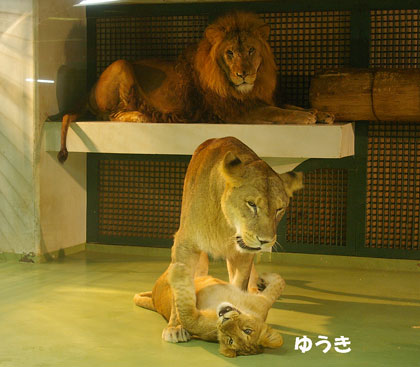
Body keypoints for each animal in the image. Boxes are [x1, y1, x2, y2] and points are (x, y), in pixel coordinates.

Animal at [57, 11, 334, 162]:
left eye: (251, 50)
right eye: (230, 53)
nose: (243, 74)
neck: (247, 90)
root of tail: (88, 90)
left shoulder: (258, 100)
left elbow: (288, 104)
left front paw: (321, 113)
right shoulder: (236, 112)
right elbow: (278, 111)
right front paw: (306, 117)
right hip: (121, 63)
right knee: (109, 115)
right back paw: (140, 115)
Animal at [135, 260, 286, 358]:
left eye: (230, 340)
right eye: (247, 330)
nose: (224, 319)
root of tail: (154, 299)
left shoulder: (197, 322)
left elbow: (186, 314)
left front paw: (179, 271)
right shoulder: (263, 302)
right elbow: (279, 283)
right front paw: (265, 278)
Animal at [162, 137, 304, 344]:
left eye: (279, 209)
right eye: (251, 204)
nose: (265, 241)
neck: (227, 225)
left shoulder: (243, 254)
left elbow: (239, 284)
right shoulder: (185, 244)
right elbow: (177, 290)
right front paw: (175, 326)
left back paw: (258, 287)